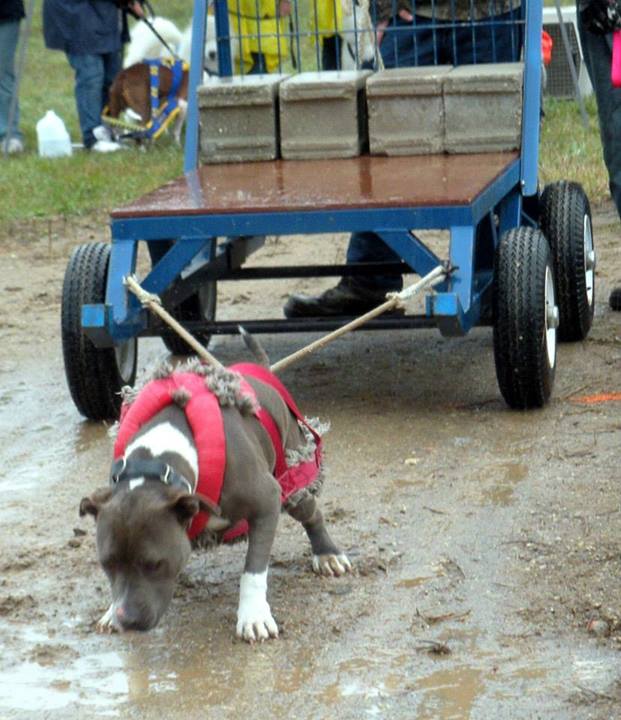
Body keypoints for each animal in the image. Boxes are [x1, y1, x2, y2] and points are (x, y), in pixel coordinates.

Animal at [79, 342, 352, 640]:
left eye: (154, 564)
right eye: (106, 564)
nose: (127, 620)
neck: (154, 465)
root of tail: (264, 371)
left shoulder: (266, 499)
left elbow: (254, 570)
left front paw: (253, 615)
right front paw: (109, 611)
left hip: (293, 475)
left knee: (311, 513)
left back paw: (327, 554)